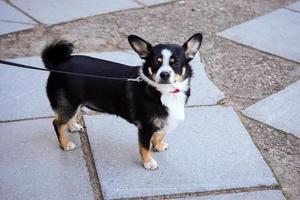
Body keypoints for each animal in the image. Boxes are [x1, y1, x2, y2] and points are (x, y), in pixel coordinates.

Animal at [41, 33, 202, 170]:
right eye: (156, 63)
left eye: (176, 63)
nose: (164, 74)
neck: (164, 91)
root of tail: (57, 66)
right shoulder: (145, 128)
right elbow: (144, 147)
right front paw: (148, 162)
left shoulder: (164, 121)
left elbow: (160, 135)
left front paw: (158, 146)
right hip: (70, 102)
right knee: (57, 123)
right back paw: (65, 144)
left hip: (74, 103)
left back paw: (73, 126)